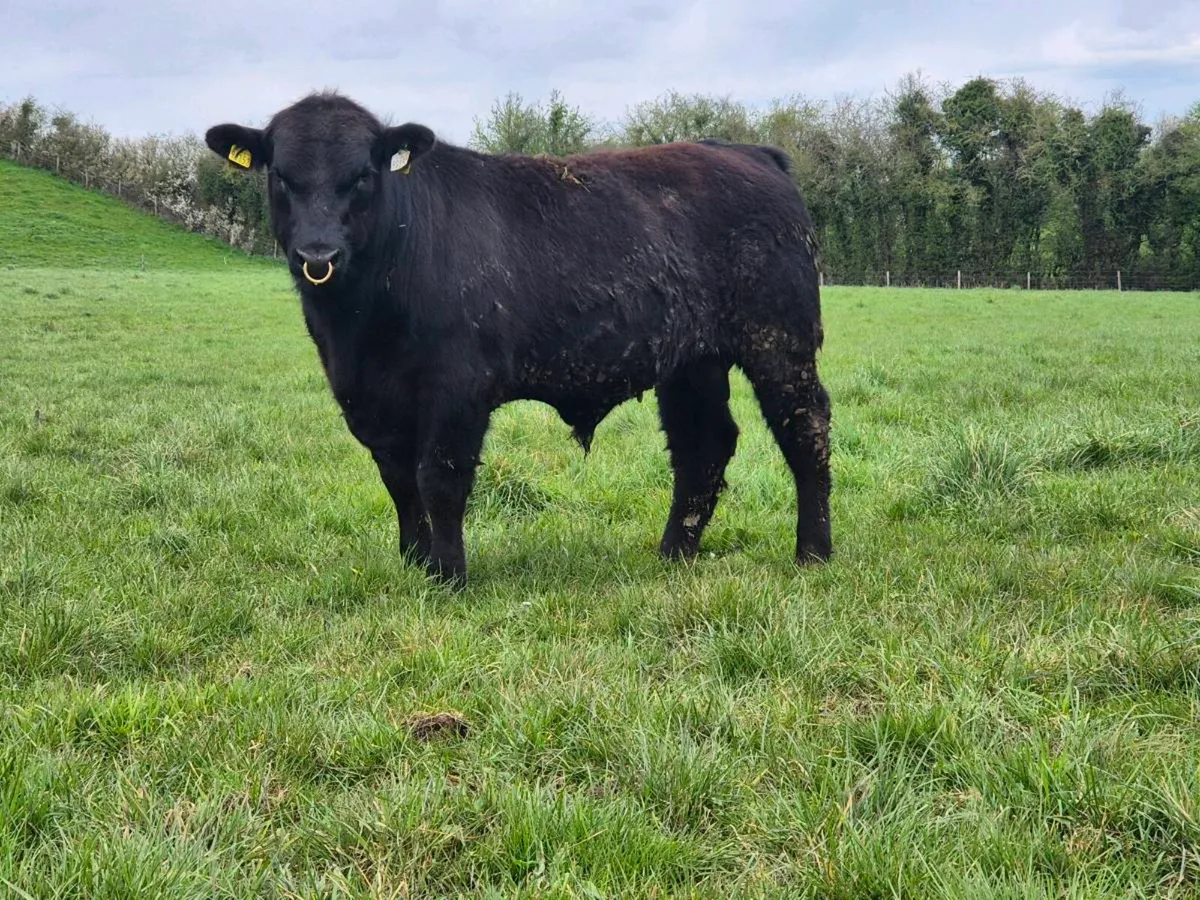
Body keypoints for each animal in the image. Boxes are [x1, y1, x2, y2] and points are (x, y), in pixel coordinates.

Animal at [204, 91, 832, 589]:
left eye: (362, 175)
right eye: (281, 176)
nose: (318, 254)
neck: (358, 326)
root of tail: (746, 152)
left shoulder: (458, 387)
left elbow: (440, 478)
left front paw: (448, 576)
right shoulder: (368, 397)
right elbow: (399, 482)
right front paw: (414, 563)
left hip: (781, 338)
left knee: (805, 428)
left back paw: (813, 554)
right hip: (692, 360)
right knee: (703, 445)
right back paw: (674, 554)